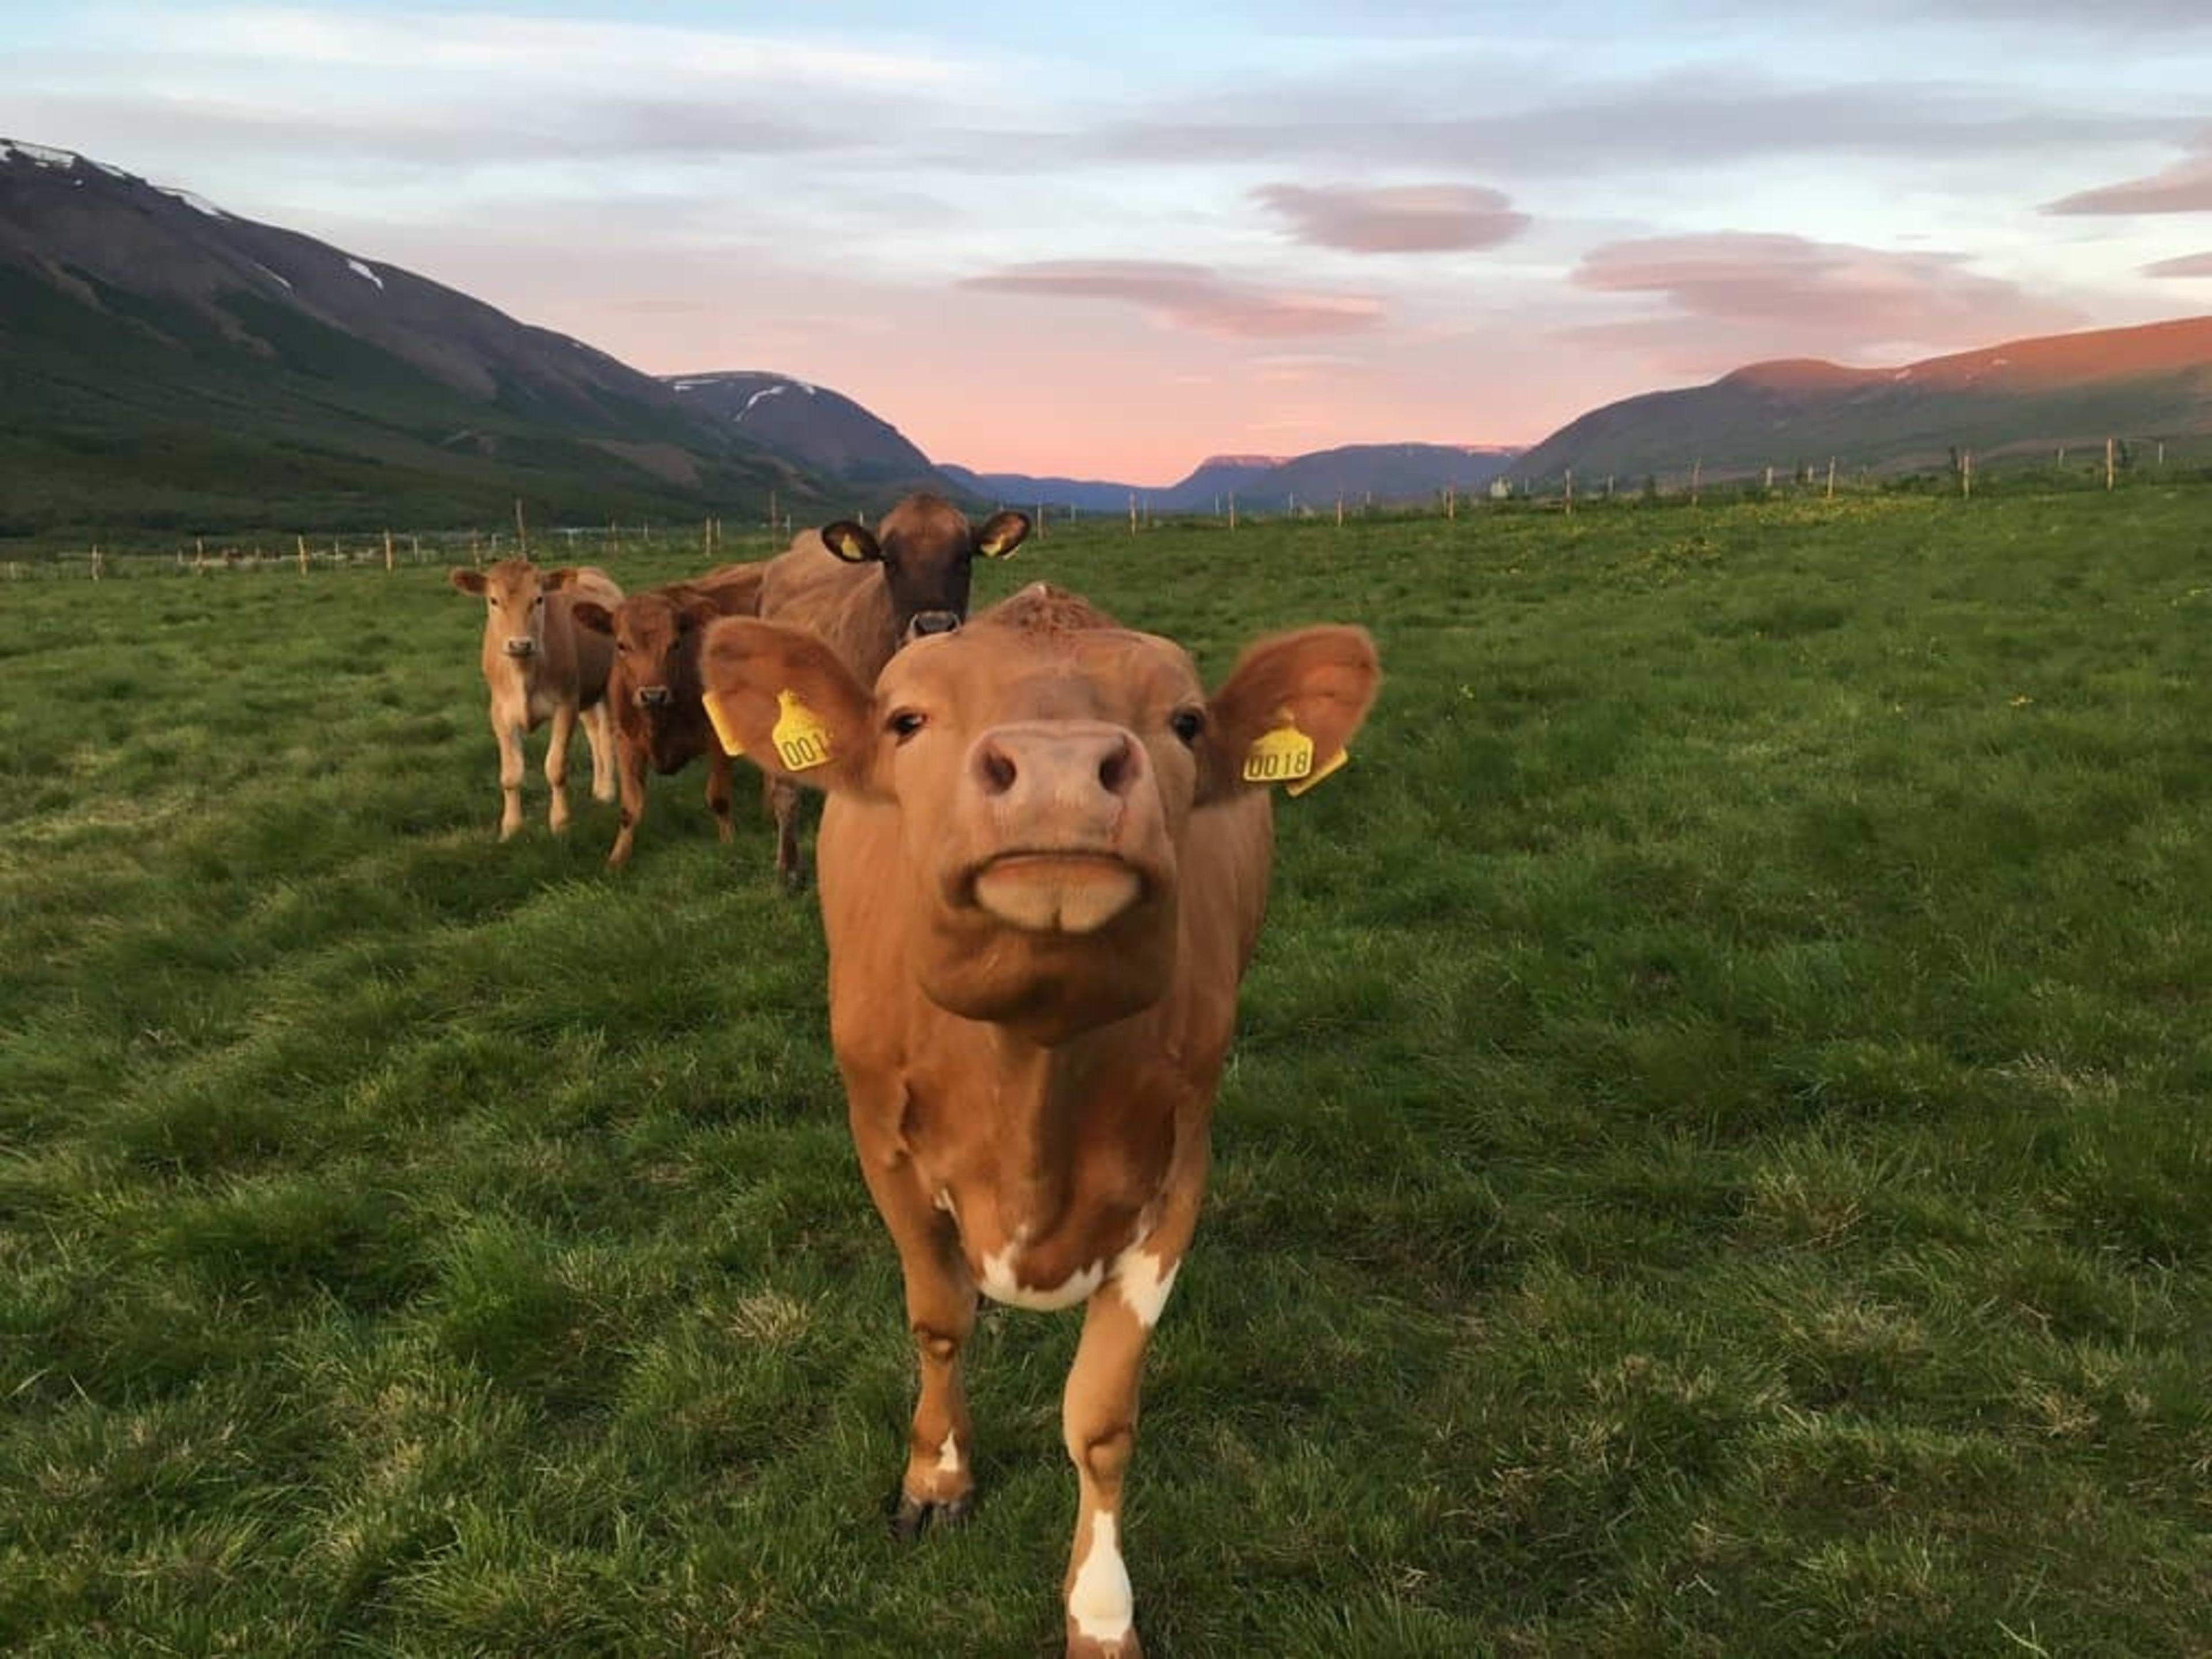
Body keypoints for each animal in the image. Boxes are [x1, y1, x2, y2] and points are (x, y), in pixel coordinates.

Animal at [446, 562, 623, 844]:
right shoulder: (500, 713)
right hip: (586, 694)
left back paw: (607, 791)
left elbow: (556, 768)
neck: (524, 674)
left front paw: (560, 823)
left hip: (609, 686)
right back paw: (598, 788)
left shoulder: (566, 705)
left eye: (539, 599)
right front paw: (511, 827)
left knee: (607, 736)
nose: (520, 644)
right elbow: (510, 775)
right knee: (595, 735)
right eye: (493, 600)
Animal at [566, 559, 774, 871]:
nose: (653, 695)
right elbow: (629, 809)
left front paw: (729, 842)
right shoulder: (625, 742)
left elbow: (719, 797)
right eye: (621, 645)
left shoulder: (717, 737)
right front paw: (617, 859)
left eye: (675, 644)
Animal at [699, 584, 1371, 1659]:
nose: (1060, 772)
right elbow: (936, 1321)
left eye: (1187, 722)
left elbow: (1099, 1420)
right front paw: (937, 1473)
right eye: (906, 721)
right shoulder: (879, 1141)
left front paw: (1100, 1611)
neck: (1032, 1075)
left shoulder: (1178, 1174)